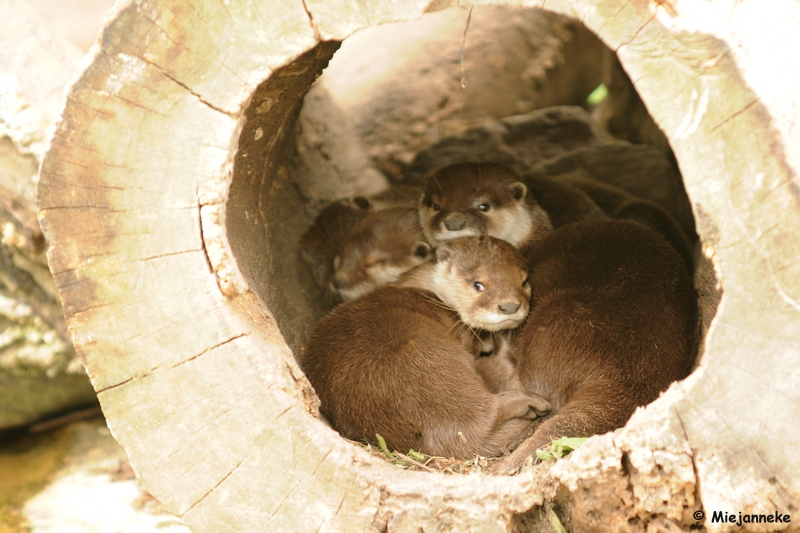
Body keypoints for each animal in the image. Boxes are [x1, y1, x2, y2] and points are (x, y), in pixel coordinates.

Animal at [300, 236, 552, 458]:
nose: (510, 306)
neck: (430, 290)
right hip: (428, 358)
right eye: (478, 285)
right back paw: (530, 401)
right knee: (486, 411)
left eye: (524, 282)